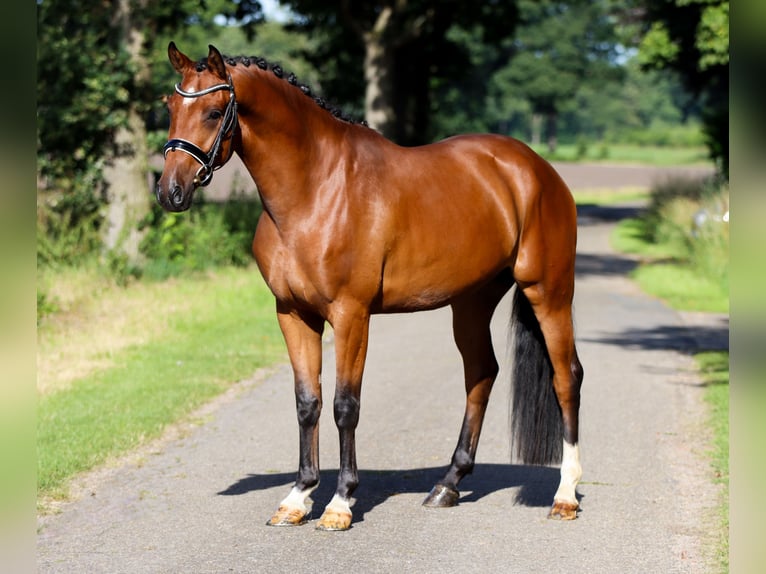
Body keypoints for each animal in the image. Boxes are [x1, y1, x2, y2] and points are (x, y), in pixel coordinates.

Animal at [159, 42, 584, 532]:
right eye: (169, 107)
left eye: (213, 112)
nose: (169, 192)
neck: (315, 189)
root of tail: (536, 169)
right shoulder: (293, 313)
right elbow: (307, 402)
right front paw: (298, 497)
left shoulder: (351, 314)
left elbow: (345, 405)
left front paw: (340, 503)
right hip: (472, 302)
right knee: (481, 373)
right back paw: (448, 484)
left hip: (548, 290)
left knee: (566, 377)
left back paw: (565, 495)